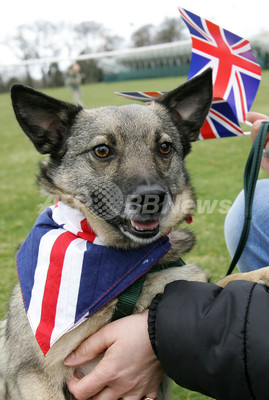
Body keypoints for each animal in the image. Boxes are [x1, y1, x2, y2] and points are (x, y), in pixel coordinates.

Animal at [1, 67, 266, 398]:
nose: (152, 198)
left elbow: (219, 284)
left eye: (164, 147)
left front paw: (259, 274)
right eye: (102, 150)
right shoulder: (34, 374)